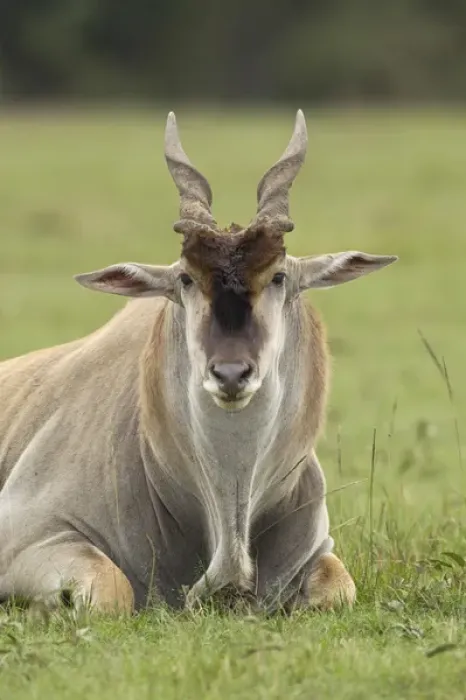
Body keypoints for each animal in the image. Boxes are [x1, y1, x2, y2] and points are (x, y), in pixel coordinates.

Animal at [0, 110, 397, 614]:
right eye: (186, 279)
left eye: (278, 277)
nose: (230, 373)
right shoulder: (27, 537)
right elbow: (112, 589)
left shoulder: (320, 554)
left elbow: (338, 588)